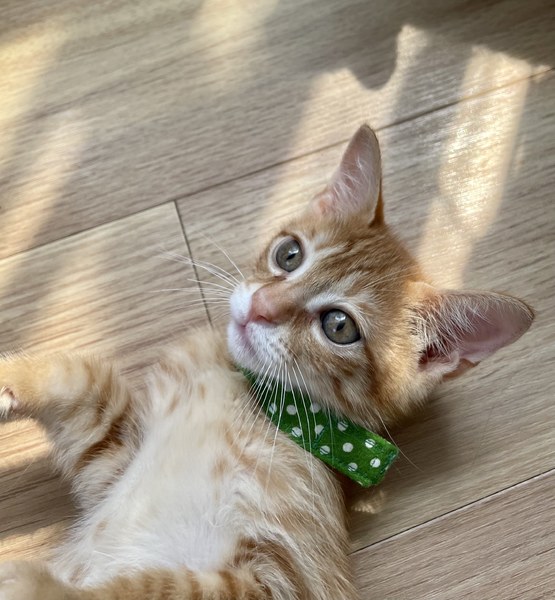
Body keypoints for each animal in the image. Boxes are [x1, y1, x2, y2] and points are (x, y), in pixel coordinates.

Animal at [0, 125, 533, 599]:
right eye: (289, 254)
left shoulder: (279, 579)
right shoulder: (111, 461)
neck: (254, 404)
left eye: (339, 326)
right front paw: (10, 377)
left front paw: (35, 585)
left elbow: (154, 588)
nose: (260, 305)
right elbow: (79, 381)